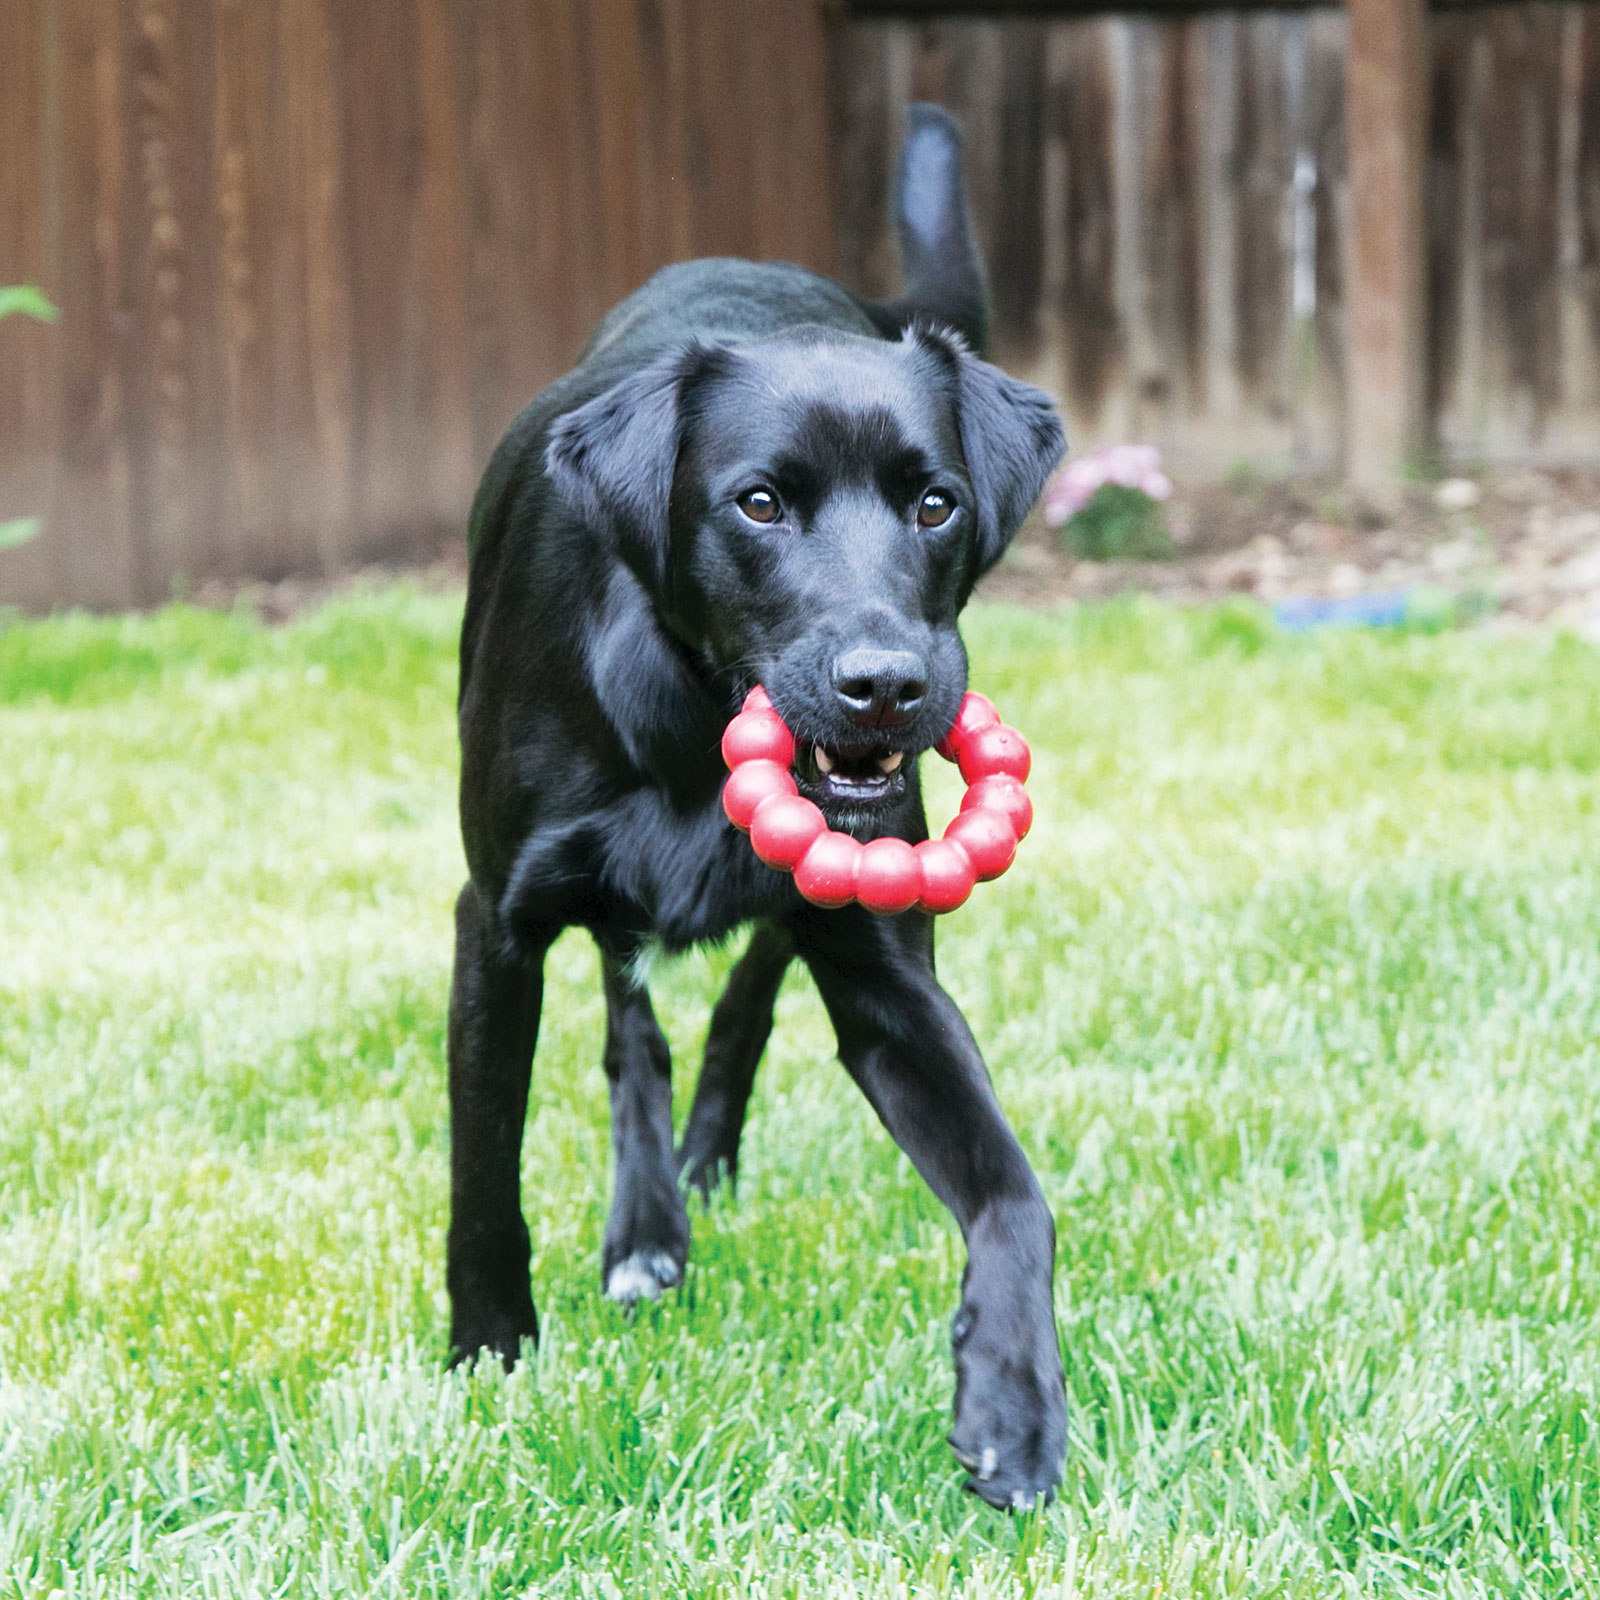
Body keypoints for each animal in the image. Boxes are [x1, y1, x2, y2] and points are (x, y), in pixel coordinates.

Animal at [451, 106, 1068, 1504]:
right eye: (760, 503)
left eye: (936, 502)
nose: (887, 687)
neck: (691, 709)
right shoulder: (494, 926)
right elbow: (486, 1158)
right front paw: (486, 1352)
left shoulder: (886, 966)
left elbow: (1013, 1188)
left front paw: (1012, 1399)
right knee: (631, 1028)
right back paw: (646, 1230)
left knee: (742, 989)